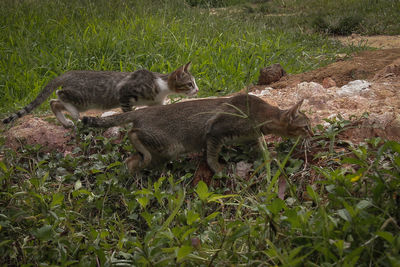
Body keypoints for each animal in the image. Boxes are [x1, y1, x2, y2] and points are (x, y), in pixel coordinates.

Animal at [2, 63, 198, 130]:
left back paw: (66, 122)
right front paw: (127, 125)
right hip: (82, 97)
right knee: (58, 95)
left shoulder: (156, 103)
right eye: (190, 83)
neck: (161, 85)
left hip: (81, 101)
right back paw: (73, 114)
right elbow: (127, 112)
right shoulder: (124, 93)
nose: (196, 90)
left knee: (53, 102)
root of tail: (69, 73)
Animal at [81, 94, 312, 176]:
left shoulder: (251, 137)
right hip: (168, 144)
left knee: (130, 160)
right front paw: (218, 169)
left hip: (161, 153)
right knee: (132, 132)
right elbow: (211, 156)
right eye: (306, 127)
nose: (312, 133)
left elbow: (262, 149)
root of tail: (144, 111)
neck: (261, 113)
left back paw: (132, 173)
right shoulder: (215, 131)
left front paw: (270, 156)